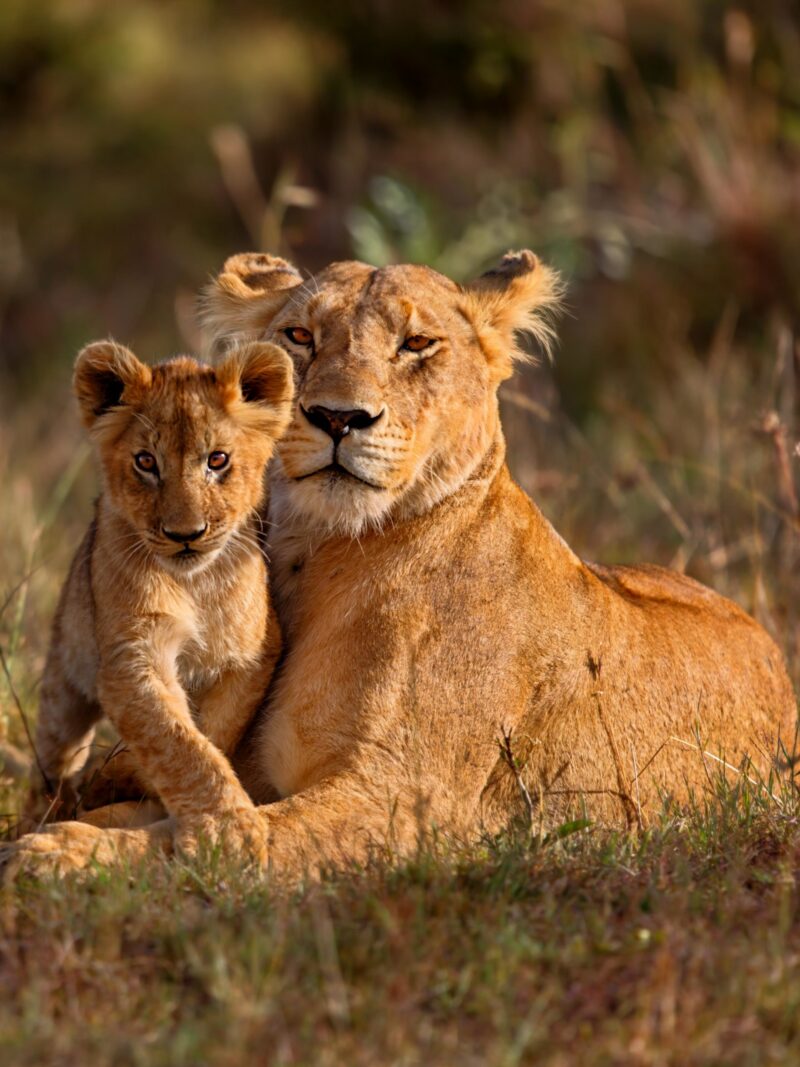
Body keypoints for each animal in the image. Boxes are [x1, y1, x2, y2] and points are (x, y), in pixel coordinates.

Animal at [23, 338, 293, 839]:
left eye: (217, 460)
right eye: (146, 462)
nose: (185, 534)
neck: (195, 583)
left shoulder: (252, 654)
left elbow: (212, 733)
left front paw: (120, 777)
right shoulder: (132, 657)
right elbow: (178, 743)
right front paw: (228, 830)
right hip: (62, 682)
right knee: (53, 758)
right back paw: (42, 813)